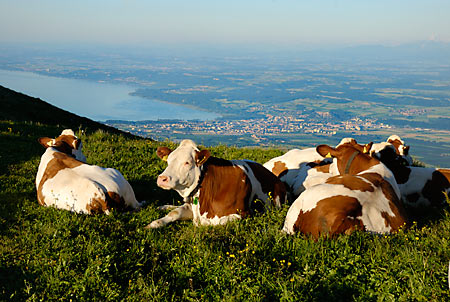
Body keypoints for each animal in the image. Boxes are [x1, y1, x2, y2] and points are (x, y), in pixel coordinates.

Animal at [146, 140, 286, 228]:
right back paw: (163, 206)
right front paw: (152, 224)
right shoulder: (193, 207)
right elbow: (174, 213)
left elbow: (215, 223)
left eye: (187, 162)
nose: (162, 178)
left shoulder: (244, 214)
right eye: (168, 161)